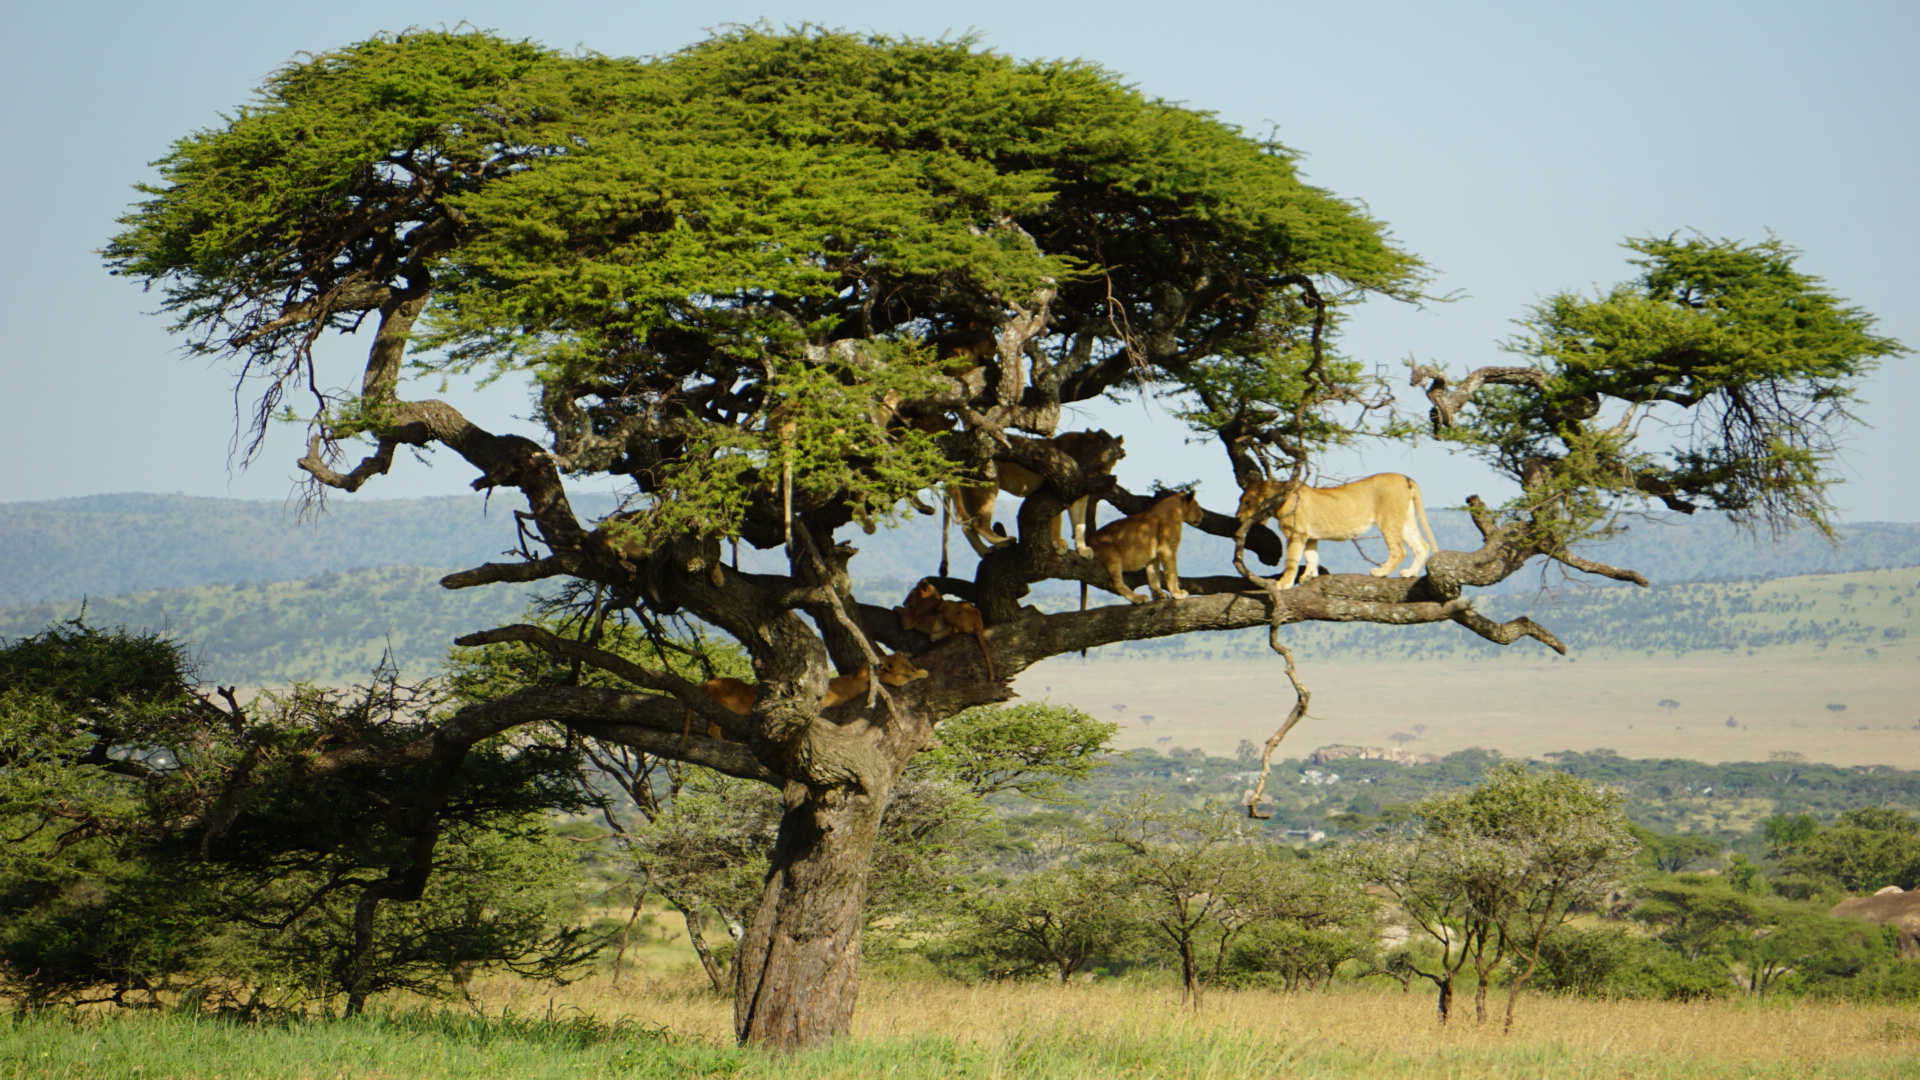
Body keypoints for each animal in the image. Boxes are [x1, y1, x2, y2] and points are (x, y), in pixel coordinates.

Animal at [948, 426, 1121, 553]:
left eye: (1113, 460)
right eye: (1102, 457)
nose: (1105, 473)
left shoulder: (1079, 496)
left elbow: (1080, 524)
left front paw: (1083, 550)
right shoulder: (1056, 490)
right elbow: (1056, 520)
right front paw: (1058, 543)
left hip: (969, 490)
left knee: (966, 525)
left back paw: (985, 551)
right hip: (988, 484)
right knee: (978, 523)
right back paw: (1003, 542)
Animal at [1236, 472, 1436, 588]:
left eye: (1246, 502)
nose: (1237, 517)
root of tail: (1405, 477)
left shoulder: (1296, 534)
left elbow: (1291, 561)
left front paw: (1284, 583)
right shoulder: (1309, 536)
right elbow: (1311, 556)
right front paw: (1309, 576)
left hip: (1388, 519)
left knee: (1399, 550)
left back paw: (1381, 572)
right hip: (1406, 520)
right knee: (1422, 546)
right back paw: (1410, 573)